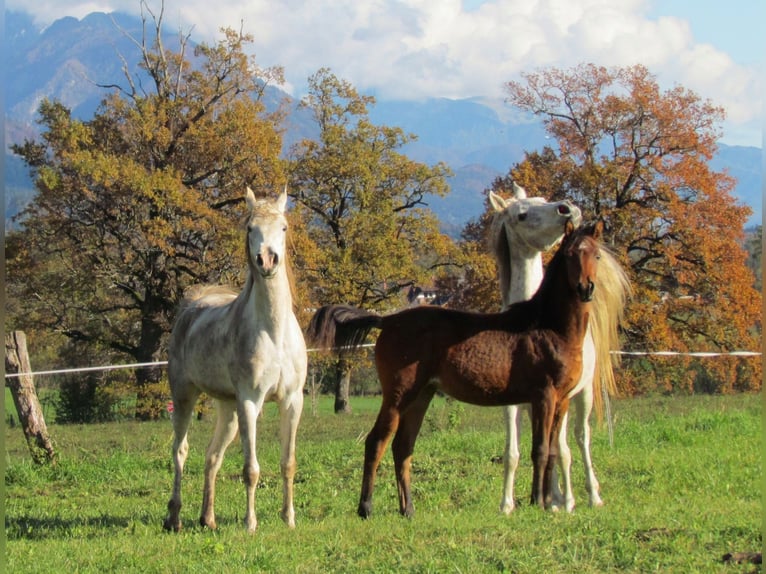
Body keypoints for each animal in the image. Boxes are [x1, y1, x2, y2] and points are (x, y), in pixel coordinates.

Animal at [164, 189, 308, 536]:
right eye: (250, 228)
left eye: (283, 227)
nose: (267, 260)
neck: (274, 333)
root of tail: (191, 307)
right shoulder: (250, 402)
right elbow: (251, 469)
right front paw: (250, 523)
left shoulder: (292, 401)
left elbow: (288, 463)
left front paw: (289, 518)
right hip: (185, 396)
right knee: (180, 451)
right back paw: (174, 518)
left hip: (227, 409)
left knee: (212, 456)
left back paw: (208, 518)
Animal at [308, 220, 604, 516]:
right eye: (570, 254)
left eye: (597, 255)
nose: (586, 288)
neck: (548, 327)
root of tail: (388, 320)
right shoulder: (543, 395)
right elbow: (540, 449)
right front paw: (537, 502)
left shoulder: (562, 399)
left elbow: (552, 450)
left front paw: (549, 504)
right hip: (398, 395)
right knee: (376, 442)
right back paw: (366, 508)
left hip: (421, 395)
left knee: (402, 446)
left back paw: (408, 510)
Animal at [488, 183, 632, 512]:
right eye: (521, 214)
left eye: (542, 199)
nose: (567, 209)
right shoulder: (512, 403)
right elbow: (513, 452)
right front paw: (507, 504)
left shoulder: (562, 397)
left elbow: (563, 448)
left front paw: (565, 501)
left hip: (585, 395)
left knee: (581, 438)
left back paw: (588, 495)